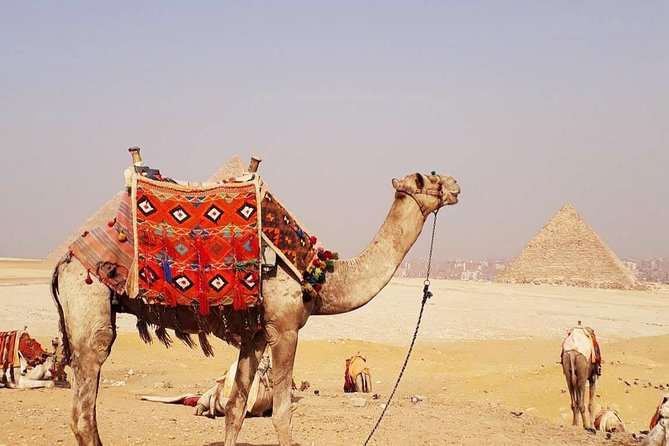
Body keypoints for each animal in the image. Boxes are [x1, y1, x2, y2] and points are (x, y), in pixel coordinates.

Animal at [50, 157, 460, 446]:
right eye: (427, 178)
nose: (456, 185)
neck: (319, 277)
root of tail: (64, 262)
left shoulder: (255, 335)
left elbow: (235, 411)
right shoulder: (285, 329)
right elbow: (281, 414)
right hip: (89, 307)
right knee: (83, 409)